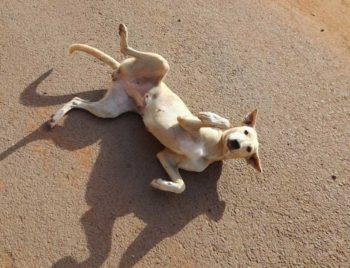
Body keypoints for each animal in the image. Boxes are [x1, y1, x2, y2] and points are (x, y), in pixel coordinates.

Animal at [50, 24, 262, 193]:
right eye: (244, 131)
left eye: (249, 149)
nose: (235, 143)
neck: (213, 148)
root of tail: (122, 72)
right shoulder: (184, 121)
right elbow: (222, 121)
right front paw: (213, 118)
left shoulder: (166, 157)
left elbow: (181, 186)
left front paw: (162, 184)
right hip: (161, 62)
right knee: (127, 49)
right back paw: (123, 34)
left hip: (108, 110)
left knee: (76, 100)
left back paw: (56, 117)